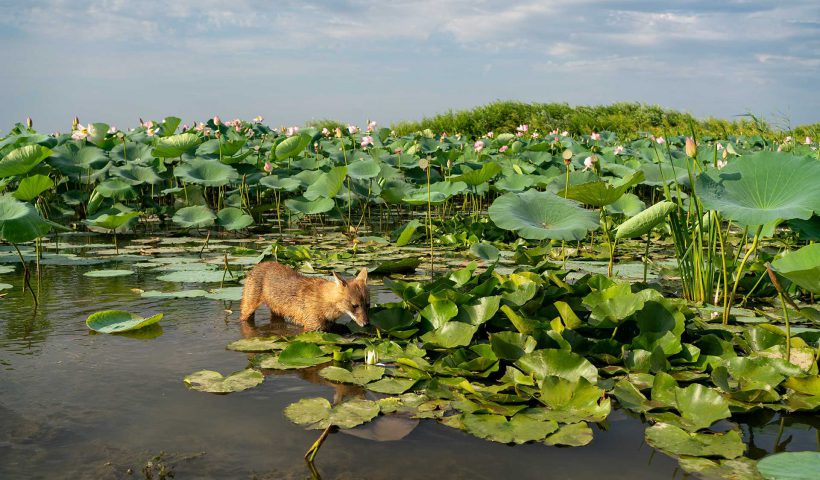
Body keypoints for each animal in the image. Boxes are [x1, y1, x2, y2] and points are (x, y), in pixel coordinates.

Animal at [239, 262, 370, 330]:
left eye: (368, 305)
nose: (367, 324)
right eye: (354, 305)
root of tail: (258, 265)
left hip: (277, 313)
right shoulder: (311, 329)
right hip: (248, 312)